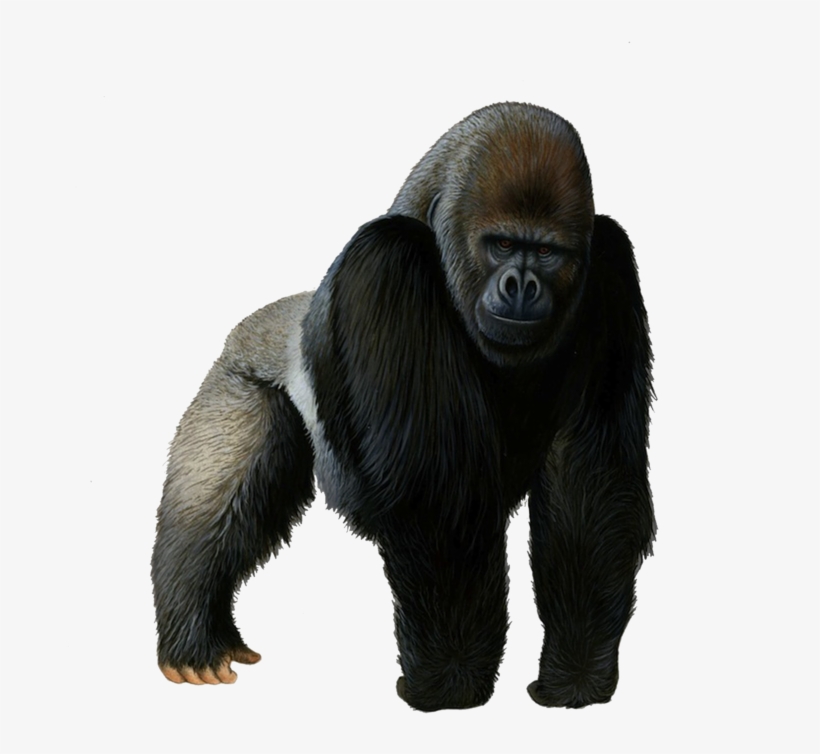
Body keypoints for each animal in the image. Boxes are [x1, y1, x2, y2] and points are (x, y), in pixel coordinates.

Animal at [151, 102, 655, 710]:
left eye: (546, 252)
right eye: (501, 245)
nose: (521, 286)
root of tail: (274, 317)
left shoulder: (609, 264)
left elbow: (590, 484)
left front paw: (575, 678)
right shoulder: (387, 259)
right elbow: (438, 501)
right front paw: (450, 683)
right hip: (238, 375)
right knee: (213, 497)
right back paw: (195, 632)